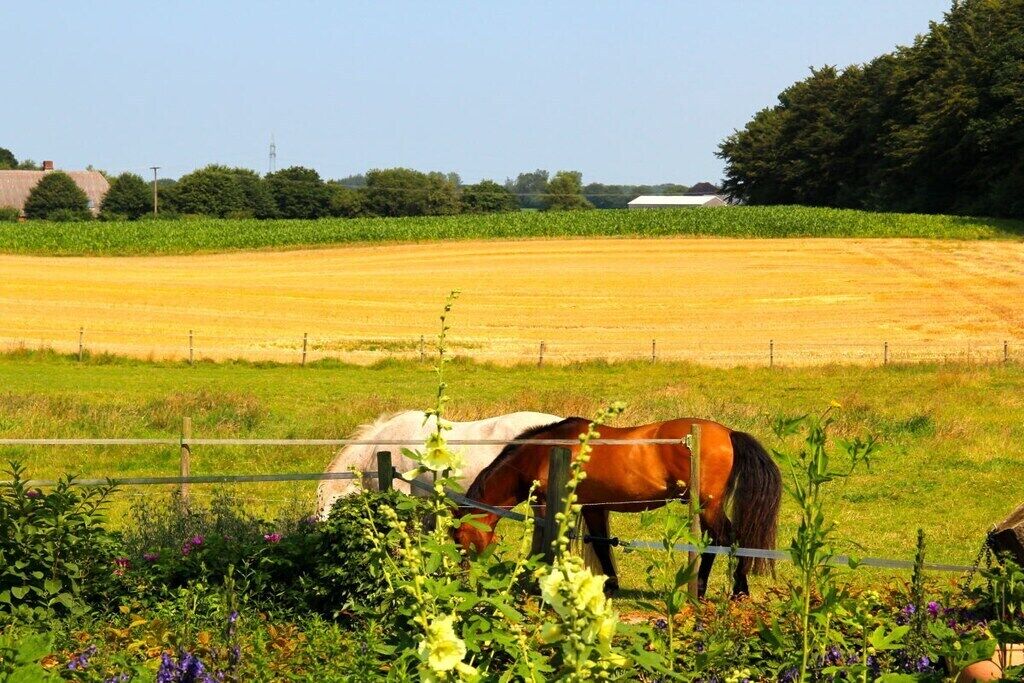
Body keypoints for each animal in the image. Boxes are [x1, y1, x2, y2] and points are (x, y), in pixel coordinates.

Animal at [455, 417, 782, 597]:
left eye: (458, 539)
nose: (462, 578)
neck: (544, 453)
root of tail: (727, 433)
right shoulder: (592, 507)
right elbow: (600, 544)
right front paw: (611, 584)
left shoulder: (549, 507)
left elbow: (549, 544)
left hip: (708, 505)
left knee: (725, 540)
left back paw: (728, 590)